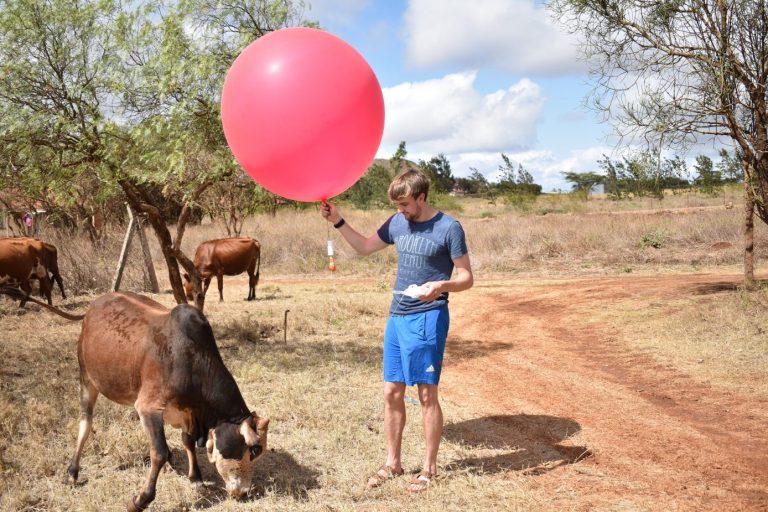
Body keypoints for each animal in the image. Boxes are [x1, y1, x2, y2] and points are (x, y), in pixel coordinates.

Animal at [0, 288, 270, 512]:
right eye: (253, 449)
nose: (244, 493)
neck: (193, 360)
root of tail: (94, 304)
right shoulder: (149, 406)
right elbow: (157, 452)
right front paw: (140, 500)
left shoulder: (184, 412)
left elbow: (186, 441)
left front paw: (195, 479)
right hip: (86, 378)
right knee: (85, 424)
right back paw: (73, 472)